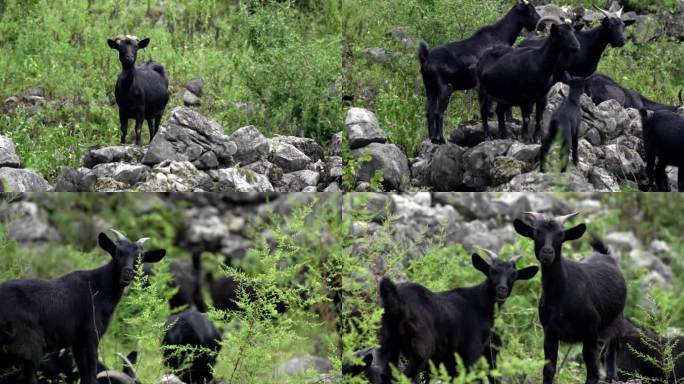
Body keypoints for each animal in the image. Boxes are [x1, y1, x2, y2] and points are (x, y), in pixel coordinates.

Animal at [0, 230, 166, 382]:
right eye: (118, 253)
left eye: (140, 258)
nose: (127, 273)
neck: (99, 288)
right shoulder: (91, 336)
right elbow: (91, 375)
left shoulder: (77, 343)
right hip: (29, 347)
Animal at [376, 252, 536, 380]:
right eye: (492, 271)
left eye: (514, 274)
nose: (502, 289)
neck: (480, 303)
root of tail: (395, 297)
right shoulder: (471, 353)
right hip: (420, 350)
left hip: (387, 344)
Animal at [416, 0, 540, 143]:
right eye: (531, 11)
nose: (541, 24)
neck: (503, 35)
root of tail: (425, 59)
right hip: (445, 88)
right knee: (438, 112)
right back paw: (440, 139)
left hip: (430, 89)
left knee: (429, 112)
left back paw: (432, 138)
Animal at [512, 213, 624, 384]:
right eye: (537, 232)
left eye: (561, 234)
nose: (547, 252)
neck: (560, 295)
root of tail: (604, 254)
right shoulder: (550, 331)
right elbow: (549, 368)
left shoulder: (591, 329)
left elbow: (591, 366)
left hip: (617, 318)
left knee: (614, 344)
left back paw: (612, 376)